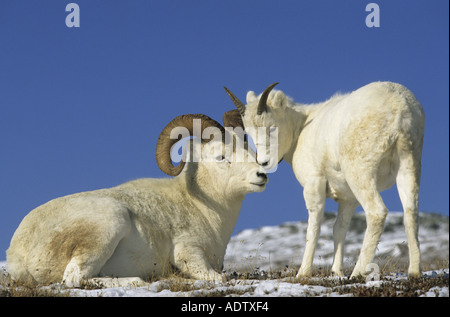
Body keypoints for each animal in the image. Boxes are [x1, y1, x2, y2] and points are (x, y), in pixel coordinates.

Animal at [7, 112, 268, 286]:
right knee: (74, 279)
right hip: (111, 223)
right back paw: (137, 280)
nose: (261, 175)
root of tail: (17, 254)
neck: (201, 206)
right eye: (221, 156)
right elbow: (217, 277)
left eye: (250, 151)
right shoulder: (189, 253)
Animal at [225, 81, 426, 276]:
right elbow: (339, 229)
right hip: (409, 166)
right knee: (411, 214)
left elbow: (313, 229)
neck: (301, 128)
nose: (264, 162)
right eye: (250, 133)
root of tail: (399, 107)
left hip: (361, 174)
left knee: (377, 213)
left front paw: (303, 273)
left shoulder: (314, 185)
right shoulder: (347, 198)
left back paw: (358, 273)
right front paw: (336, 272)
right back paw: (414, 272)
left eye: (272, 127)